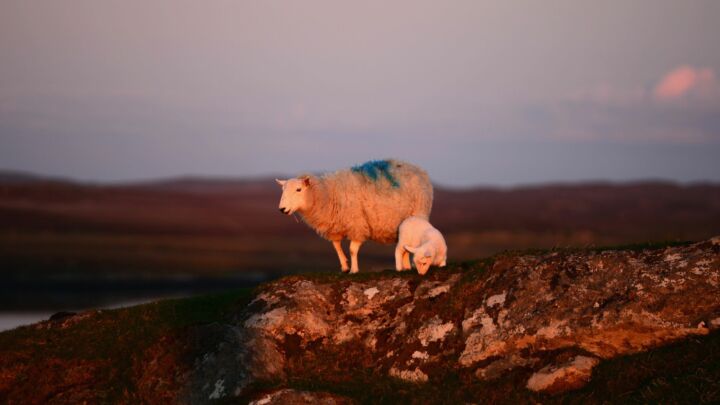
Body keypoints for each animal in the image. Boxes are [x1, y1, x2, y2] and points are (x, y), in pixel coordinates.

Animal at [275, 159, 433, 273]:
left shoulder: (357, 224)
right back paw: (406, 267)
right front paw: (344, 267)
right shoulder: (335, 226)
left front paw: (354, 270)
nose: (282, 209)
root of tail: (420, 170)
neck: (328, 194)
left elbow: (352, 249)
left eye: (298, 189)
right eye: (283, 190)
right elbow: (336, 246)